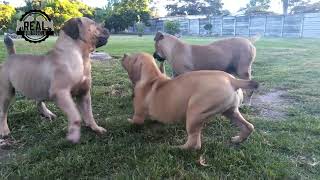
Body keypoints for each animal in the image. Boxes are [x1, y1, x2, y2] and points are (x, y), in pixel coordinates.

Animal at [121, 52, 258, 150]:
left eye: (131, 58)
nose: (124, 55)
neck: (152, 78)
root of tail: (232, 80)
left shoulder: (138, 116)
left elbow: (135, 121)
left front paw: (126, 120)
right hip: (230, 111)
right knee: (248, 126)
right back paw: (238, 139)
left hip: (194, 113)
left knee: (194, 143)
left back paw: (176, 148)